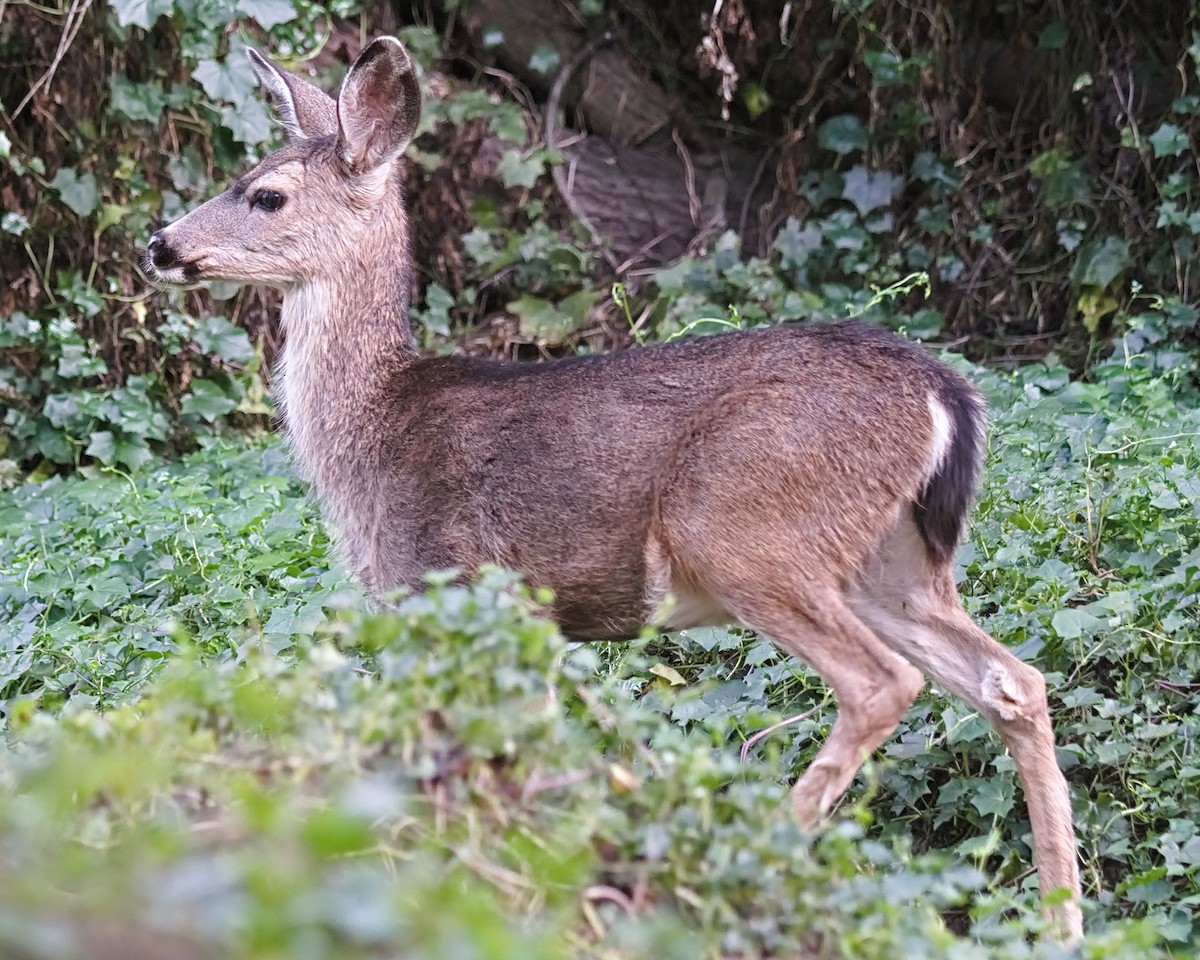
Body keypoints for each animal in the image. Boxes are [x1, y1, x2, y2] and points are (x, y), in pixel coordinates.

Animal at [143, 36, 1083, 942]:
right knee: (1013, 681)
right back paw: (1061, 917)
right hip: (894, 562)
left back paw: (739, 869)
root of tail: (945, 394)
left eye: (266, 195)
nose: (160, 245)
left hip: (745, 527)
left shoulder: (445, 582)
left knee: (882, 682)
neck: (372, 432)